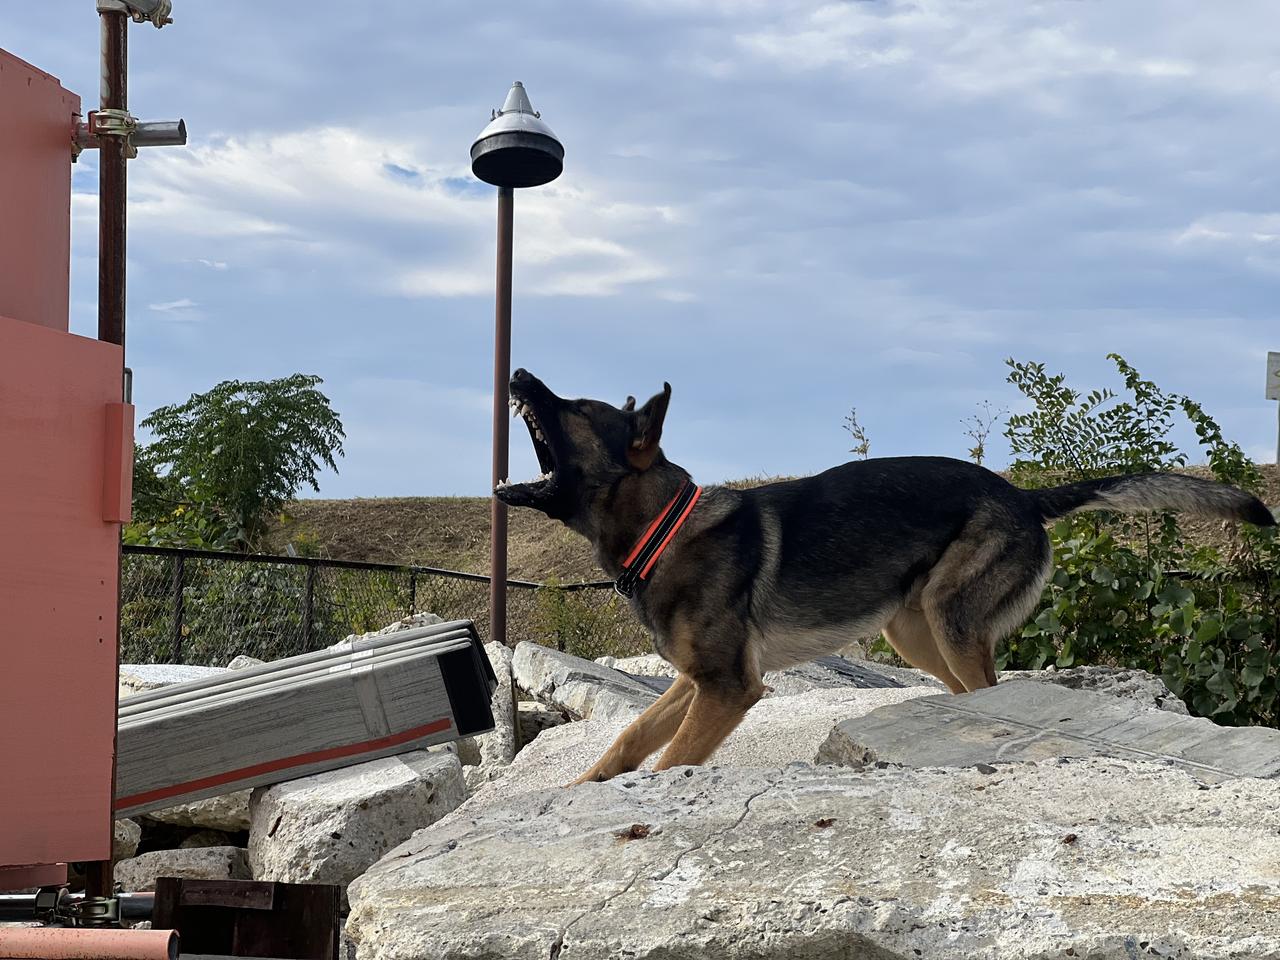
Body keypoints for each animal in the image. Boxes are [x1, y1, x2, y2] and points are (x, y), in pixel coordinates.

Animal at [495, 368, 1276, 783]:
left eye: (575, 409)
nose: (520, 374)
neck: (664, 526)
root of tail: (1025, 498)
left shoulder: (729, 689)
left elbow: (668, 761)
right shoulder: (695, 681)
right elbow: (629, 739)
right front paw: (586, 788)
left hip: (950, 623)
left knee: (985, 691)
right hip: (916, 634)